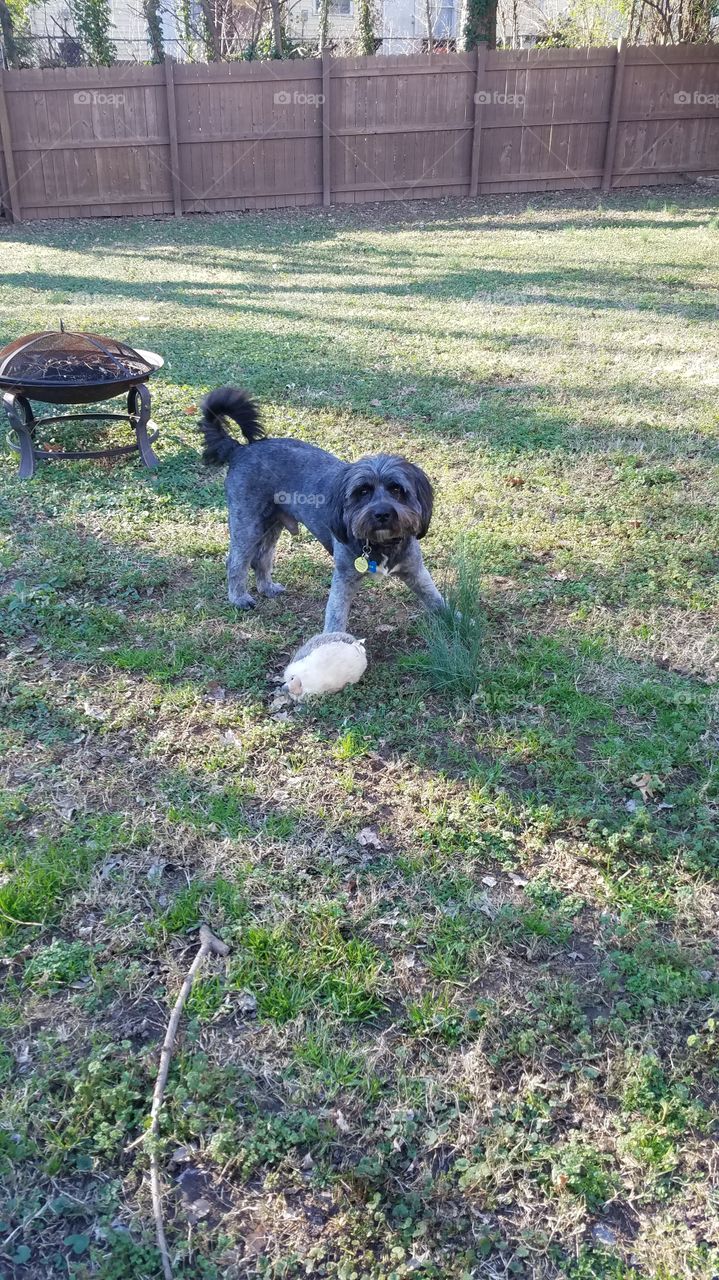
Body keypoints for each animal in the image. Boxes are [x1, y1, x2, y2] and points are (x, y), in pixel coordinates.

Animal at [197, 384, 442, 634]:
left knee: (262, 558)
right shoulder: (344, 578)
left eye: (396, 489)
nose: (382, 513)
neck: (380, 545)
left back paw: (267, 587)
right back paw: (239, 598)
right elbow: (335, 617)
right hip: (248, 525)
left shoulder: (416, 571)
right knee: (236, 561)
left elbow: (436, 599)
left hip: (272, 525)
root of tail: (239, 449)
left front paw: (451, 620)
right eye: (362, 491)